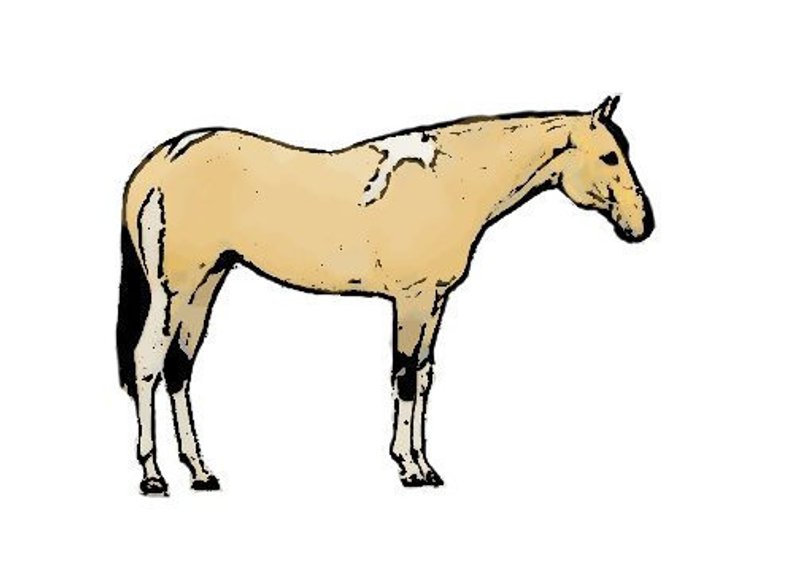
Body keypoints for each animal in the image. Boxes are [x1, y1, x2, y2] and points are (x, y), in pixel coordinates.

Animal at [117, 95, 654, 495]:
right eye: (609, 155)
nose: (642, 224)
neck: (448, 182)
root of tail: (159, 161)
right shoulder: (412, 300)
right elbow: (405, 377)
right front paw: (411, 470)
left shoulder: (435, 300)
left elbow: (425, 375)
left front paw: (424, 465)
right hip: (174, 289)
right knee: (147, 362)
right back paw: (153, 477)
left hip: (206, 283)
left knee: (179, 366)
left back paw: (200, 472)